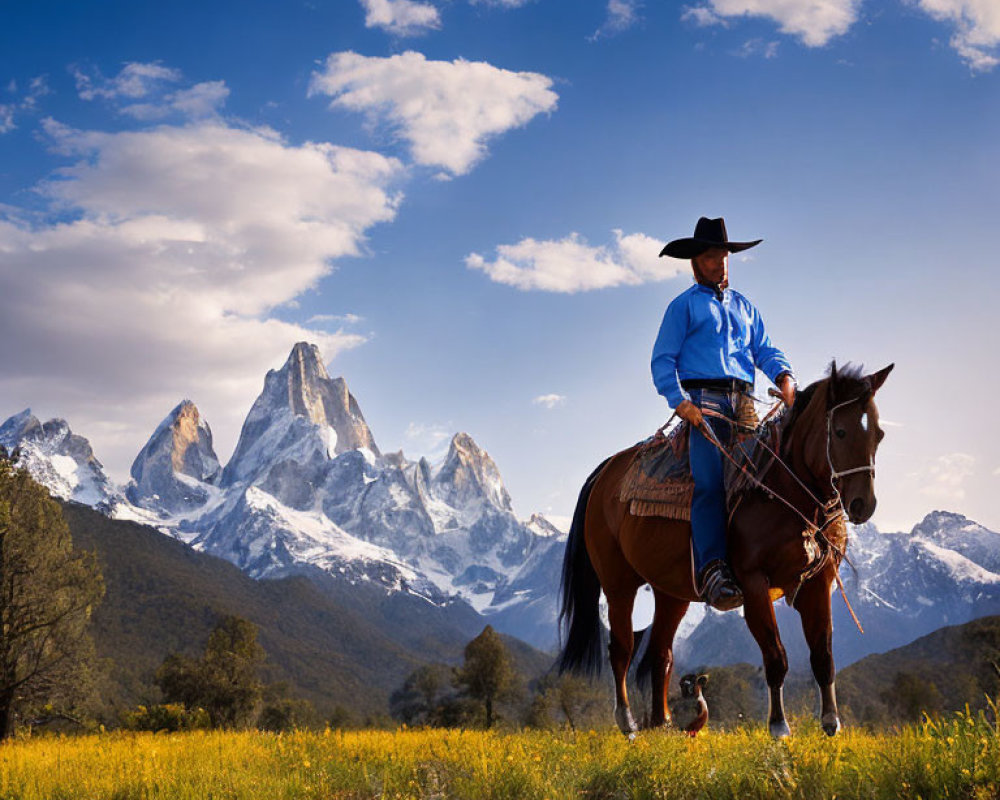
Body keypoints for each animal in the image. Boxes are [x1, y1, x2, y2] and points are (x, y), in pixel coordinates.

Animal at [560, 362, 896, 736]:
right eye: (839, 431)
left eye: (879, 434)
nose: (863, 504)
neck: (782, 490)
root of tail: (606, 472)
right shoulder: (753, 583)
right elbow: (775, 656)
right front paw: (779, 726)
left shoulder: (817, 582)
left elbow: (823, 655)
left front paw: (830, 724)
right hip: (618, 582)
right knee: (621, 649)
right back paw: (628, 722)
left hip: (670, 592)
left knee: (660, 653)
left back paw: (662, 723)